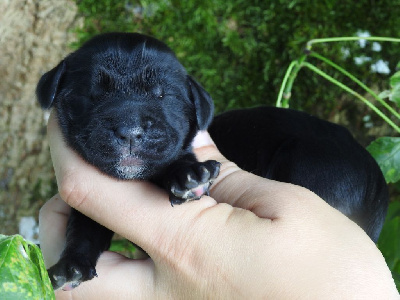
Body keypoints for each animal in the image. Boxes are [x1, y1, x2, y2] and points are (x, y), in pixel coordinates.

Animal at [36, 32, 220, 290]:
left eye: (162, 95)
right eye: (92, 94)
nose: (130, 131)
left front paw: (191, 175)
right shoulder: (89, 213)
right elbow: (82, 230)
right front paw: (71, 265)